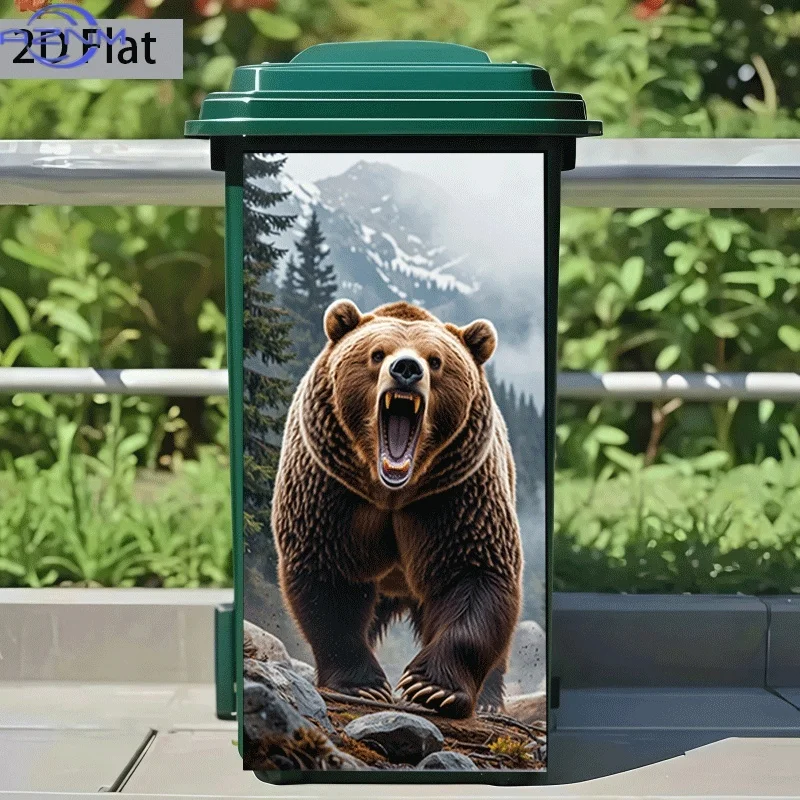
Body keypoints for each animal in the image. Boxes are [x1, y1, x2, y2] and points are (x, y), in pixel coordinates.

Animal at [271, 299, 523, 719]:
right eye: (377, 354)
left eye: (435, 360)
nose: (406, 368)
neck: (393, 492)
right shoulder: (332, 489)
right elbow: (329, 582)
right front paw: (362, 685)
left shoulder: (456, 496)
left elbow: (475, 576)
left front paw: (431, 688)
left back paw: (488, 700)